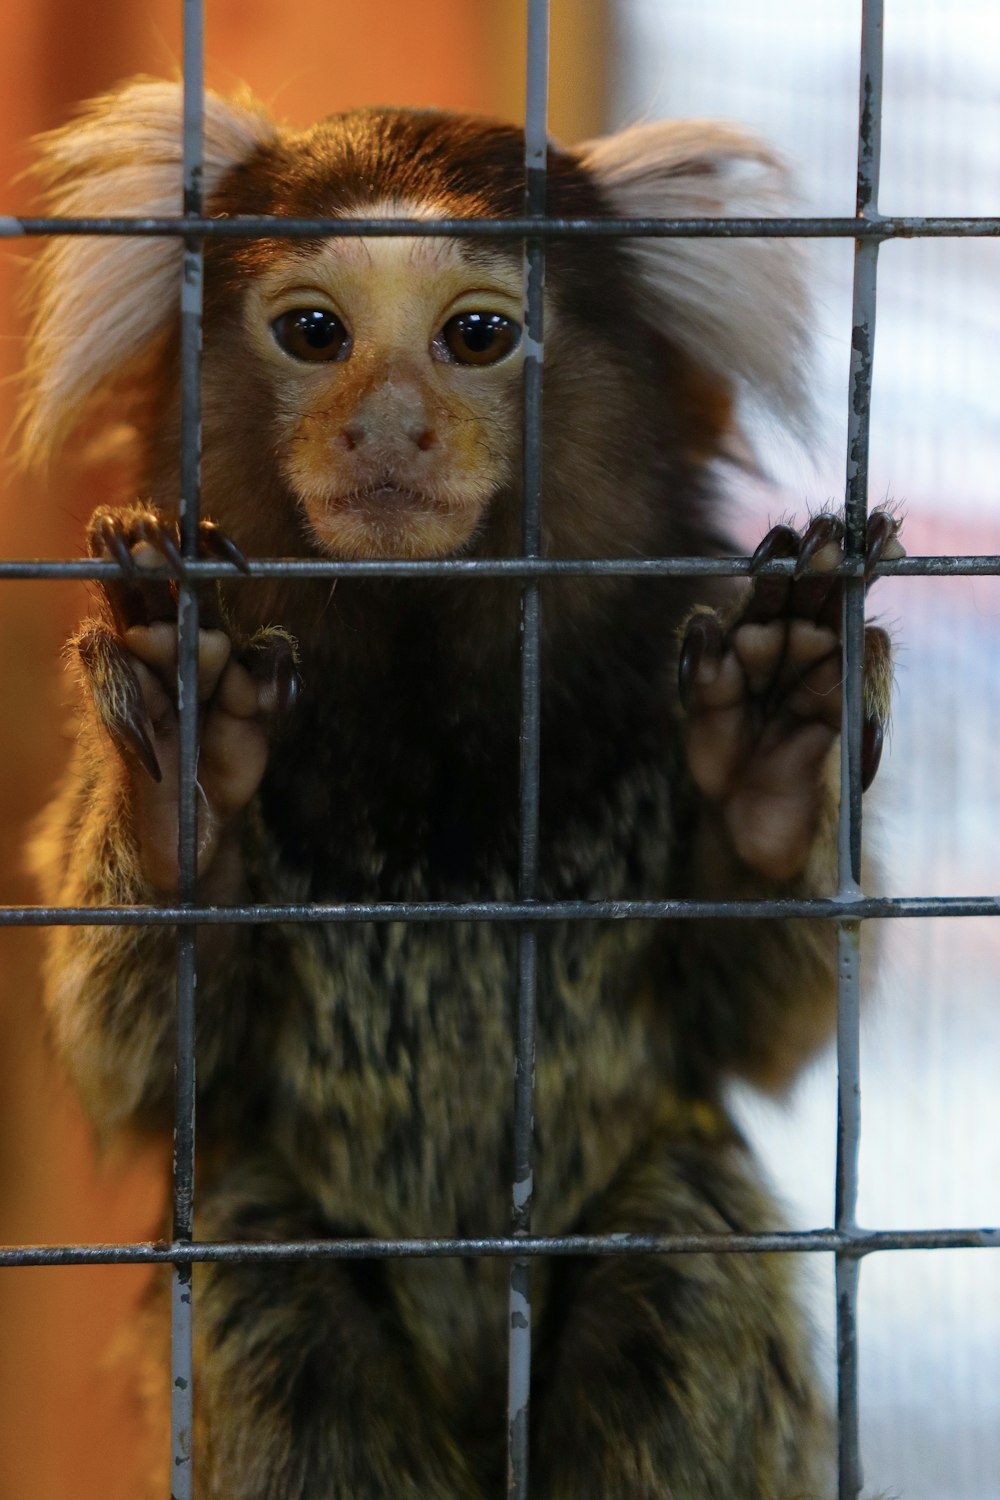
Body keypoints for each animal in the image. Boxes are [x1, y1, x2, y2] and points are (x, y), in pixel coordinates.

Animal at [23, 82, 905, 1500]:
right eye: (314, 333)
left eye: (478, 337)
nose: (388, 427)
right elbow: (145, 1064)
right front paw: (180, 783)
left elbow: (755, 1023)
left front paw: (776, 758)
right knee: (260, 1284)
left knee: (685, 1251)